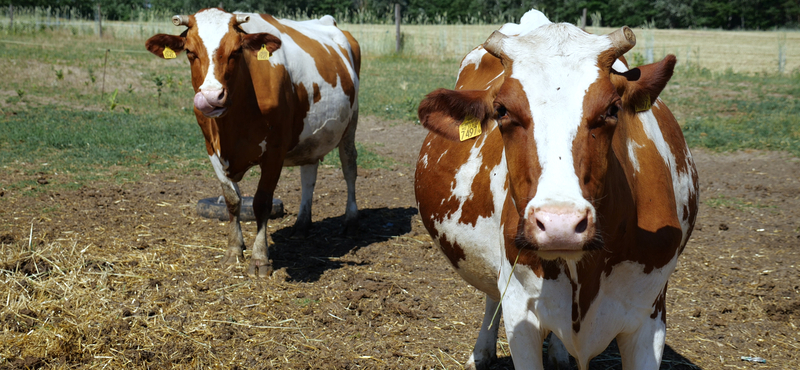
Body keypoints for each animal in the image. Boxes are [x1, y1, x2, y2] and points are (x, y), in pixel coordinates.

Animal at [145, 8, 360, 276]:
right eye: (190, 52)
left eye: (237, 51)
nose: (211, 97)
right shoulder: (211, 148)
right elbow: (232, 200)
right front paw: (234, 249)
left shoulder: (275, 151)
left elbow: (261, 202)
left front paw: (259, 258)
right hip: (310, 136)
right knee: (308, 175)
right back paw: (302, 224)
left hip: (351, 123)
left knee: (349, 168)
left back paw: (350, 221)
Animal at [416, 10, 696, 368]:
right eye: (502, 111)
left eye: (612, 109)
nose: (559, 225)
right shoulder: (521, 313)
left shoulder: (649, 319)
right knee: (492, 295)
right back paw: (482, 351)